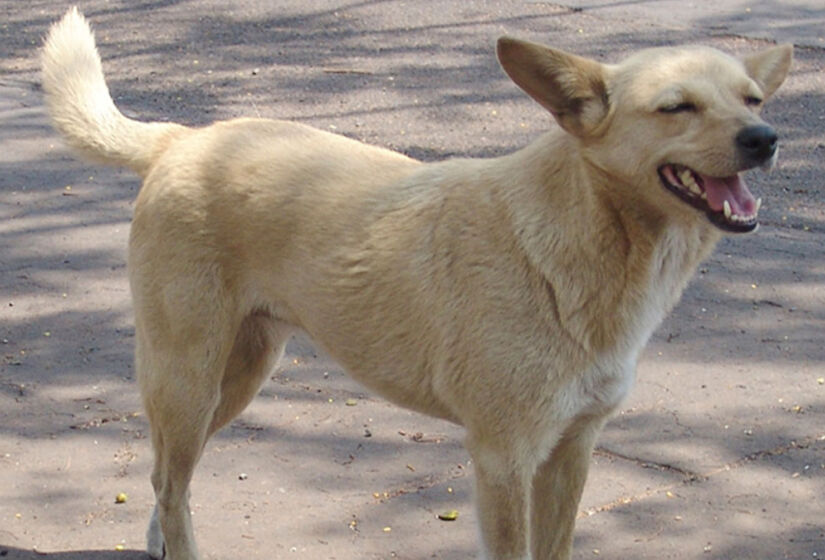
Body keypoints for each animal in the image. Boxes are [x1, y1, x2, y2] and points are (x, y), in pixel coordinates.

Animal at [40, 8, 792, 560]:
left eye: (750, 99)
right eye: (676, 107)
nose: (766, 137)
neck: (588, 237)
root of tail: (182, 139)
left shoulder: (571, 452)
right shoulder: (502, 460)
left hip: (236, 377)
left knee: (164, 477)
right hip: (189, 380)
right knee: (172, 486)